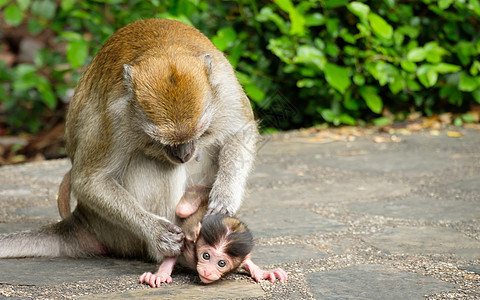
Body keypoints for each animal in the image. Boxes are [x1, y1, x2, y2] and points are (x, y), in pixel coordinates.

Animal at [0, 18, 258, 262]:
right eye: (160, 141)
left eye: (200, 132)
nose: (184, 155)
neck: (167, 49)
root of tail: (83, 218)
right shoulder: (115, 117)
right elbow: (89, 180)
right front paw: (157, 232)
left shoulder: (225, 89)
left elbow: (241, 132)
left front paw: (224, 197)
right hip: (119, 234)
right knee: (156, 165)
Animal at [140, 185, 288, 286]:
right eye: (206, 256)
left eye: (221, 263)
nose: (207, 271)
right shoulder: (189, 245)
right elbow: (175, 250)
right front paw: (160, 275)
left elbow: (247, 261)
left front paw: (263, 273)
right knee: (183, 209)